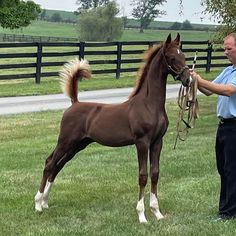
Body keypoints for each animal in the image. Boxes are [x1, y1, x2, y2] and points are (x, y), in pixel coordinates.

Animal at [34, 33, 190, 223]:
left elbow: (155, 173)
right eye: (172, 57)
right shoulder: (142, 142)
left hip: (78, 145)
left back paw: (45, 202)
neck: (149, 105)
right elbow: (143, 175)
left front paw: (157, 212)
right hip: (66, 141)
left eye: (184, 56)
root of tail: (74, 102)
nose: (188, 79)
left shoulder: (157, 142)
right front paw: (142, 215)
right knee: (49, 163)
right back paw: (38, 204)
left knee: (58, 166)